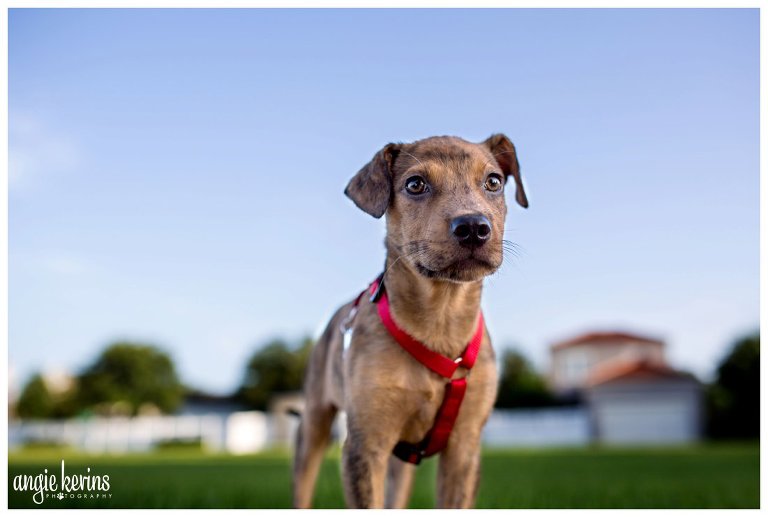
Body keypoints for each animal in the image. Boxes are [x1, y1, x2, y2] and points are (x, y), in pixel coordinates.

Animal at [292, 133, 528, 508]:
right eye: (415, 184)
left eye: (494, 182)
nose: (473, 227)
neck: (440, 317)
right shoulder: (365, 444)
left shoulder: (465, 447)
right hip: (313, 423)